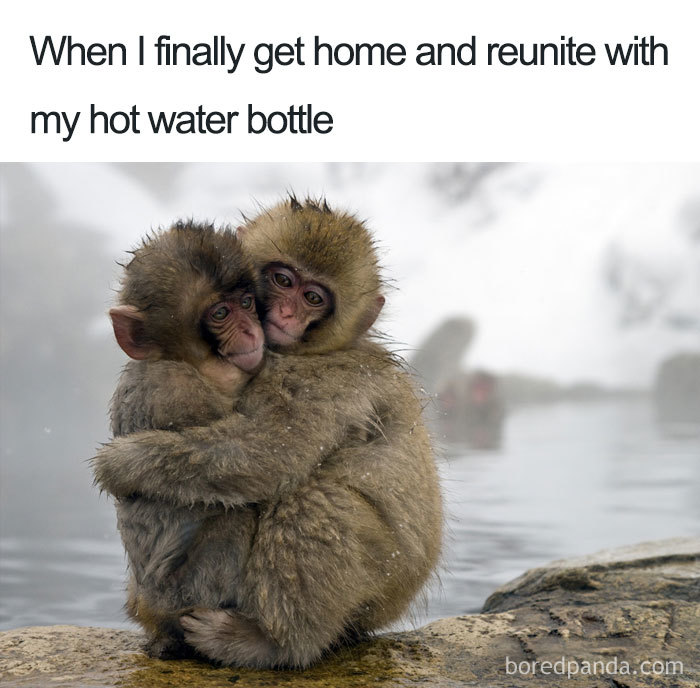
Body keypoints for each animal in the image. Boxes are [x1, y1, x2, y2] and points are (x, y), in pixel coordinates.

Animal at [93, 197, 443, 668]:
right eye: (283, 280)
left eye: (313, 298)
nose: (285, 314)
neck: (320, 350)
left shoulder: (317, 380)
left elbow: (271, 452)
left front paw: (121, 462)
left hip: (384, 577)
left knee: (314, 501)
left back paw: (272, 643)